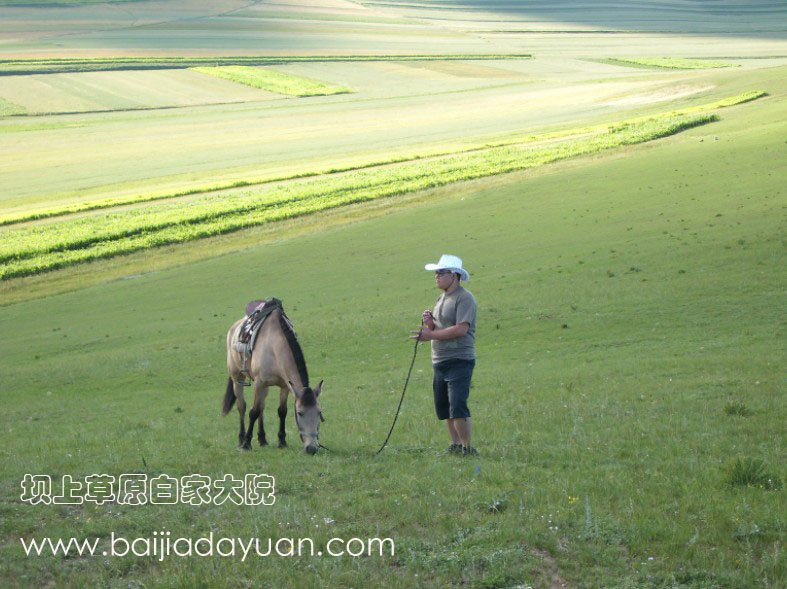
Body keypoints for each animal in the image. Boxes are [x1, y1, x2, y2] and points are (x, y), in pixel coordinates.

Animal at [222, 298, 324, 454]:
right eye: (300, 413)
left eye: (319, 412)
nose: (312, 448)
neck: (274, 346)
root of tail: (233, 329)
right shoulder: (259, 383)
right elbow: (253, 412)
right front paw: (246, 443)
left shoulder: (285, 385)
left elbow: (282, 411)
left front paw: (282, 441)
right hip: (237, 379)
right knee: (242, 407)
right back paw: (241, 439)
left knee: (262, 407)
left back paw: (262, 439)